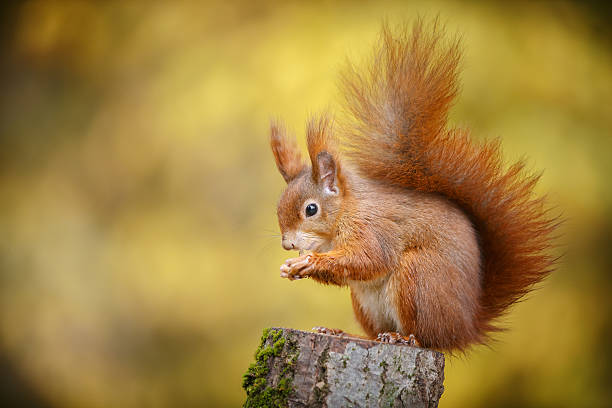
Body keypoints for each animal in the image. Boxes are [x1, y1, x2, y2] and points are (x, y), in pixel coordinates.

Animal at [270, 19, 556, 350]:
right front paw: (290, 267)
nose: (287, 245)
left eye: (311, 209)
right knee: (374, 334)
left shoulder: (373, 228)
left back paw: (403, 338)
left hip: (418, 276)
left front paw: (309, 262)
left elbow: (368, 258)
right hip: (366, 303)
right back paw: (344, 333)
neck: (343, 215)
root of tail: (466, 327)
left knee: (427, 338)